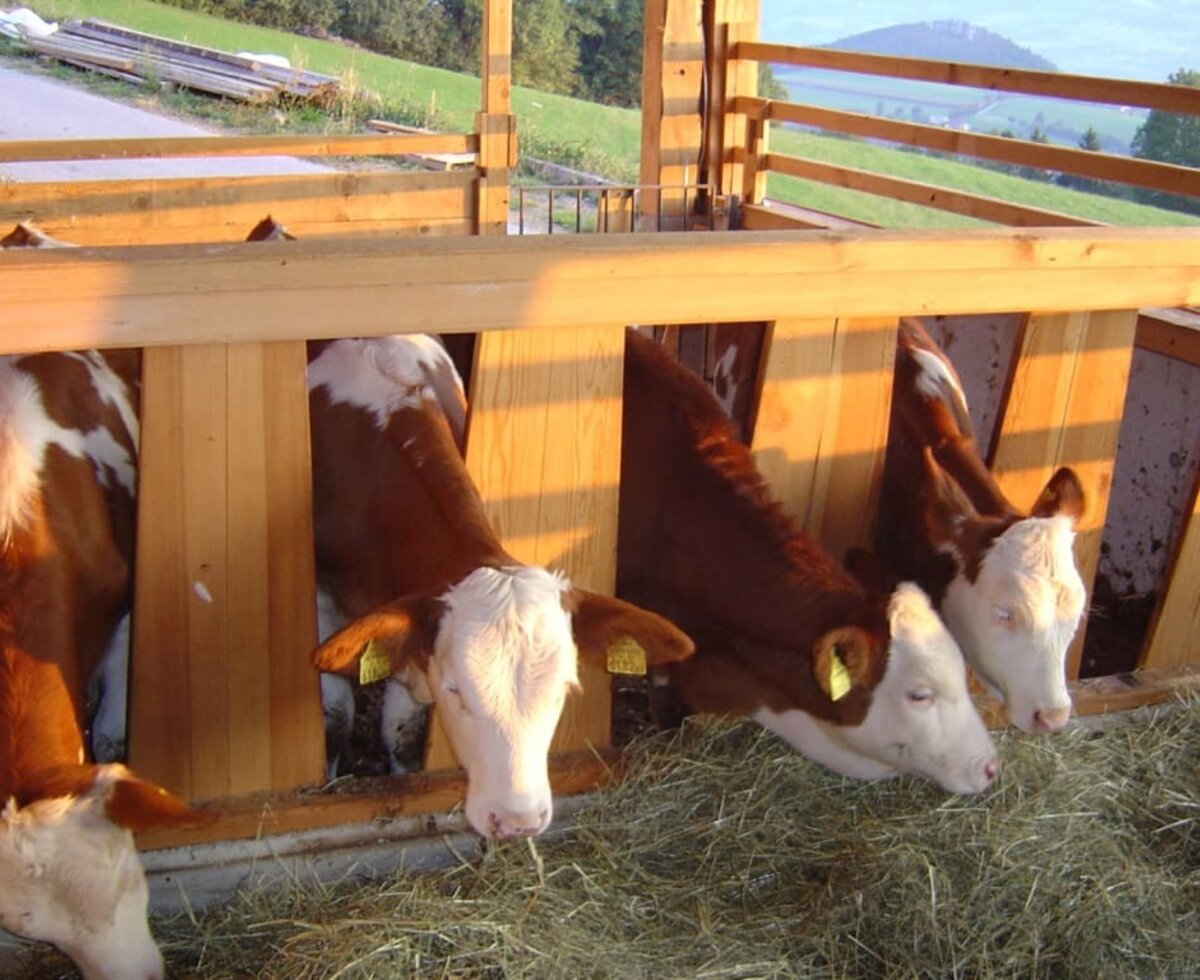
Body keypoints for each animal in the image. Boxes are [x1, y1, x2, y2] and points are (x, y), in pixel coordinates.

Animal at [304, 333, 696, 834]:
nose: (517, 820)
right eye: (455, 689)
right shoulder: (323, 603)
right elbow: (335, 720)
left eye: (565, 687)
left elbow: (402, 730)